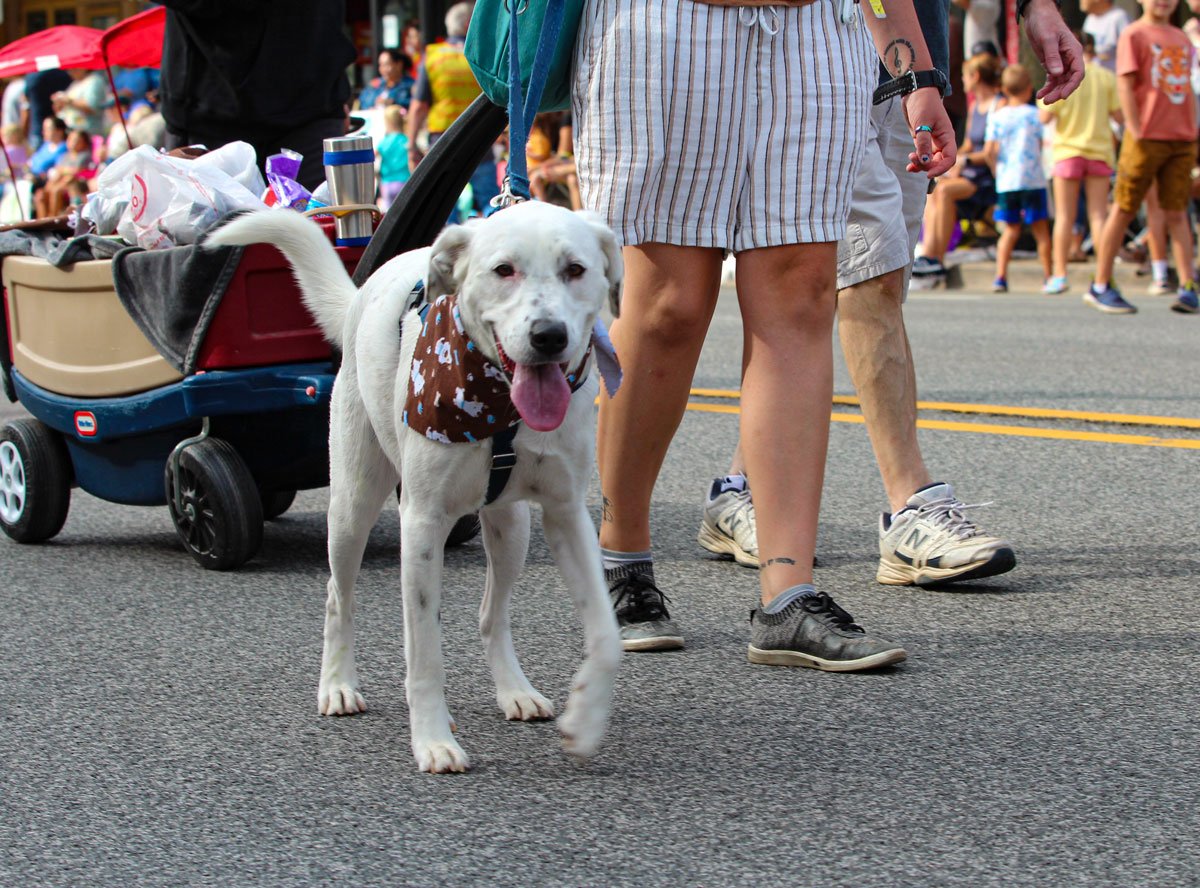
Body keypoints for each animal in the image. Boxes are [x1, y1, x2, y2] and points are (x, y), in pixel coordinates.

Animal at [210, 201, 628, 768]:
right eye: (504, 270)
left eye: (576, 269)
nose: (550, 336)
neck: (499, 405)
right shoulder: (423, 524)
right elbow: (424, 654)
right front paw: (432, 741)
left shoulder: (566, 512)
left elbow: (606, 632)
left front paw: (584, 720)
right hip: (352, 504)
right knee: (338, 596)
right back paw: (337, 685)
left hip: (512, 528)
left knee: (491, 614)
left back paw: (514, 690)